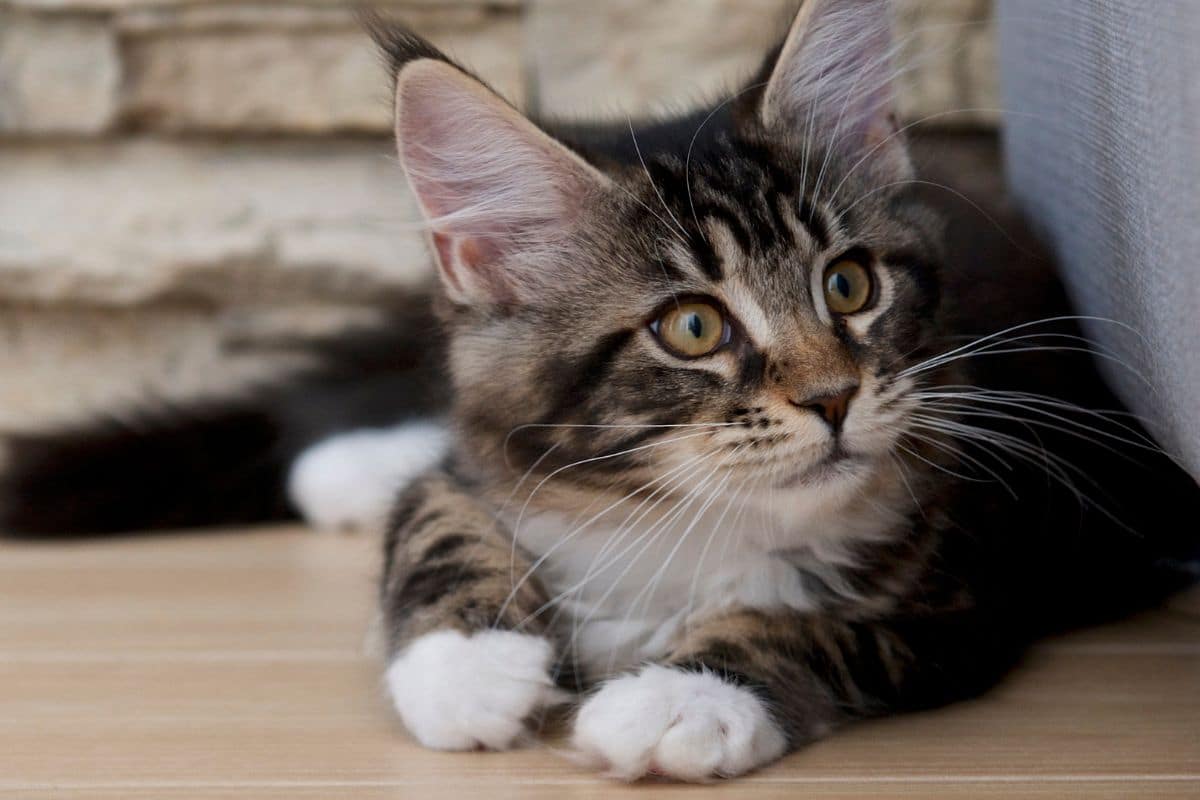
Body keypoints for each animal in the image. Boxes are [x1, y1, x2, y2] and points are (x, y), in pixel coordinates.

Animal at [0, 0, 1195, 782]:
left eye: (849, 285)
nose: (834, 398)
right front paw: (465, 663)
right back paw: (350, 467)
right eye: (694, 327)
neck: (675, 517)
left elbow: (811, 623)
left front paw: (681, 695)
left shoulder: (965, 579)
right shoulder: (489, 470)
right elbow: (440, 513)